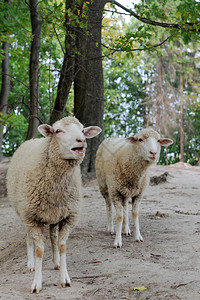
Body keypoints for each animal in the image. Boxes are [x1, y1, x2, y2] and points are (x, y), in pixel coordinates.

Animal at [6, 116, 101, 292]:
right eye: (58, 131)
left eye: (83, 130)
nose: (82, 140)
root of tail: (32, 139)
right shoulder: (31, 218)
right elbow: (39, 250)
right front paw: (36, 283)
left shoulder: (69, 217)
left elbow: (62, 245)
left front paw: (65, 278)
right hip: (24, 212)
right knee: (28, 237)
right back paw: (30, 264)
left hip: (54, 214)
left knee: (52, 236)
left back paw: (56, 262)